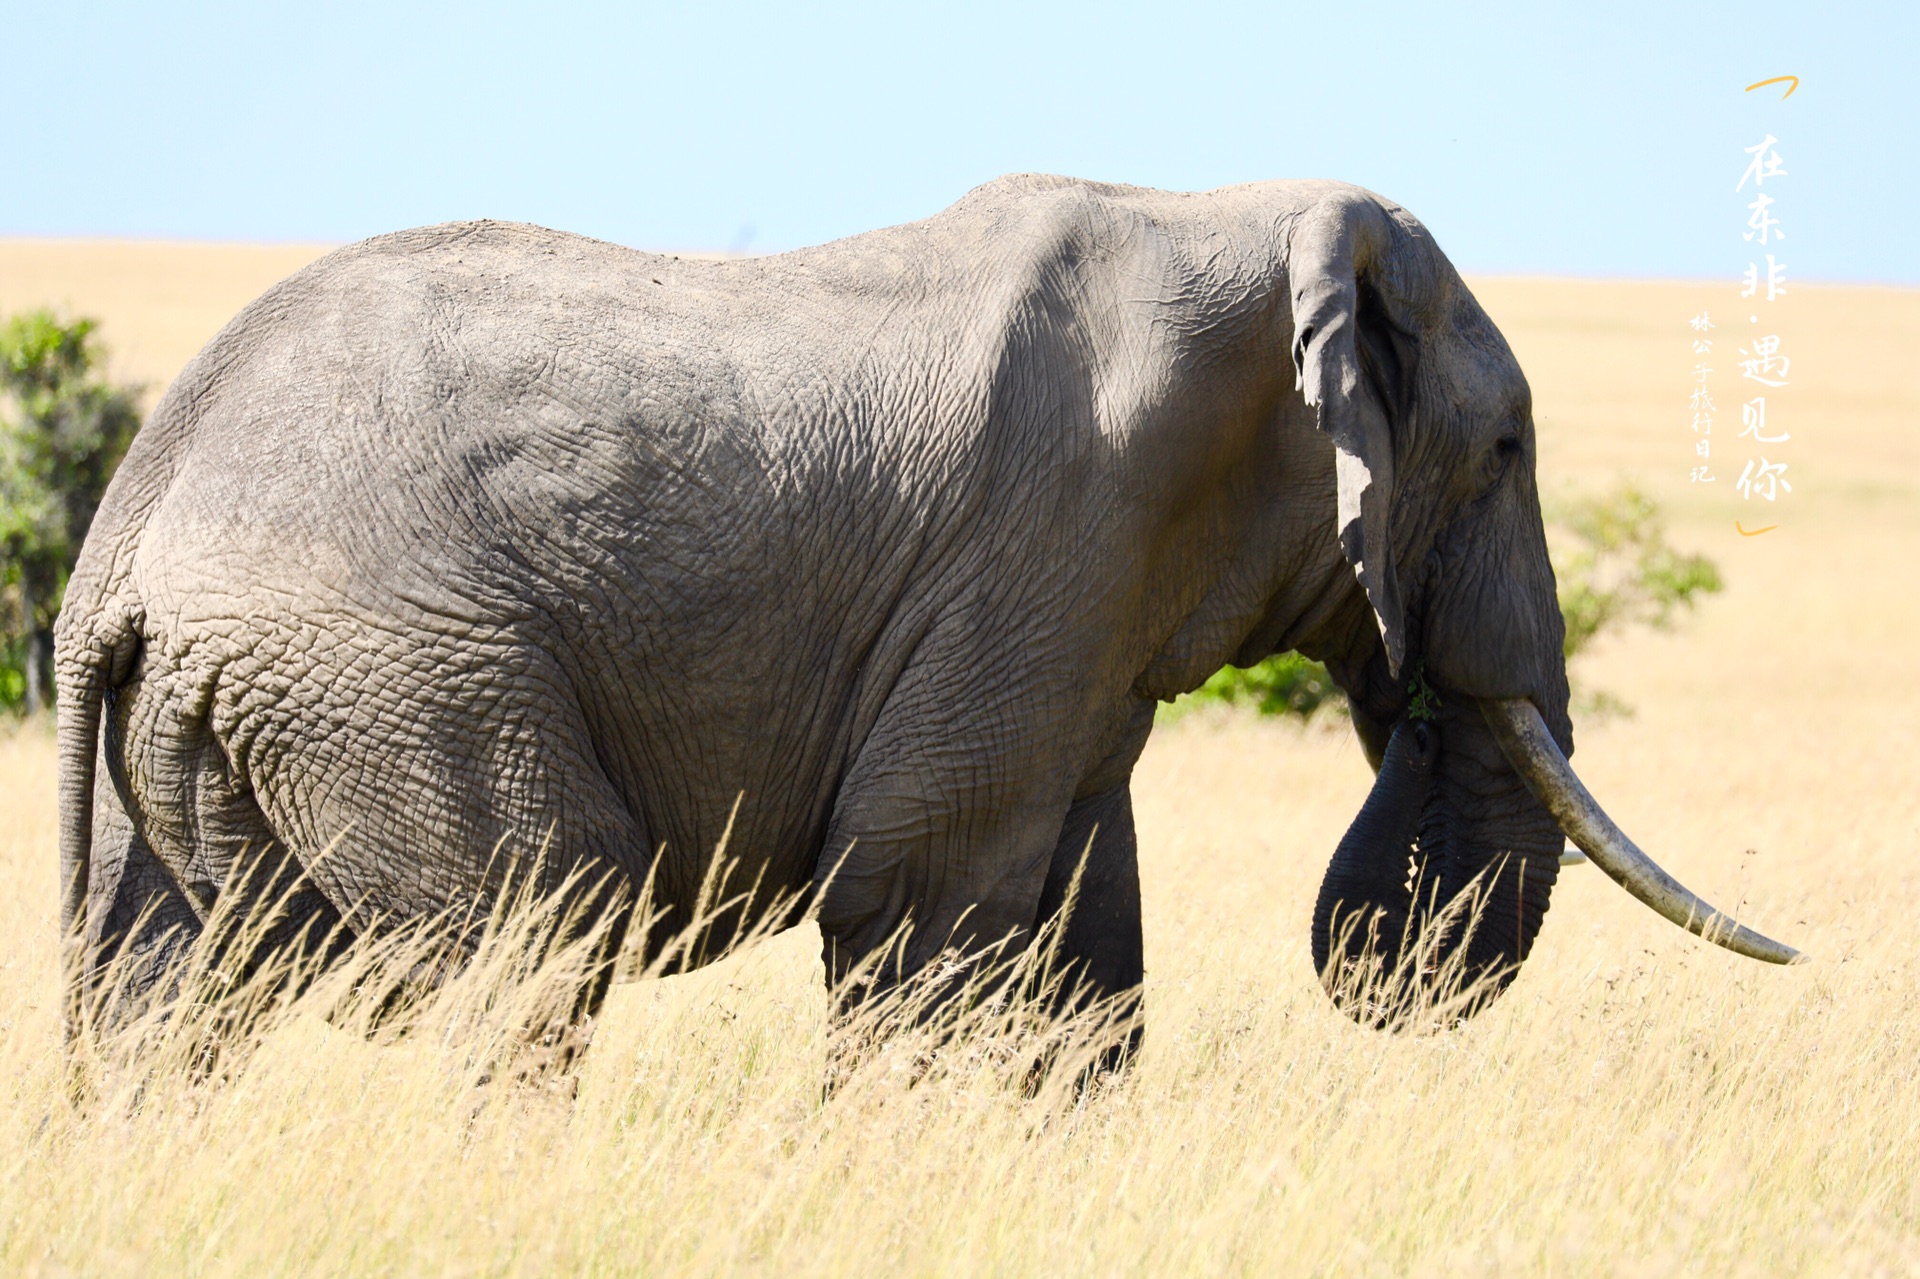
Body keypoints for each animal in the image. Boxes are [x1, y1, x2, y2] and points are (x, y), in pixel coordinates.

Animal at [56, 171, 1797, 1052]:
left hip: (238, 708)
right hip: (393, 666)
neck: (1245, 214)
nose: (1386, 977)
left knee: (166, 984)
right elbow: (926, 891)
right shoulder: (1062, 533)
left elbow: (1087, 942)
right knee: (542, 925)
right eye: (1504, 453)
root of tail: (120, 547)